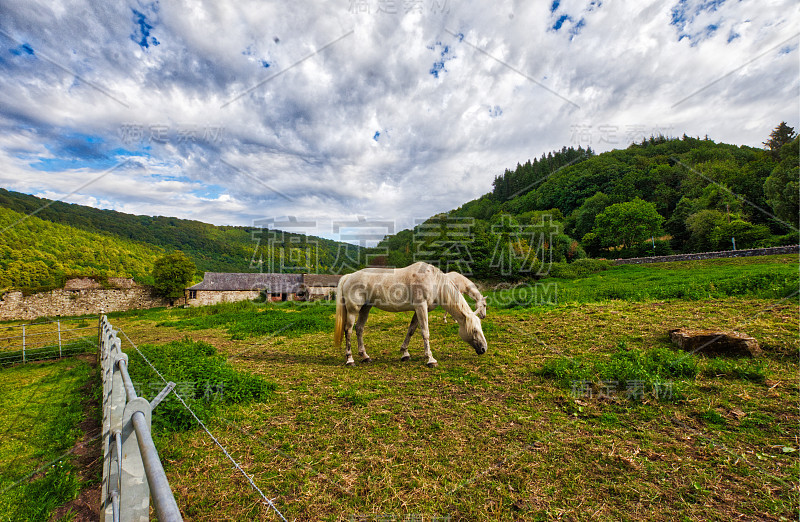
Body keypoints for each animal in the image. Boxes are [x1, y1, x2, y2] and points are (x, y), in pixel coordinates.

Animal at [332, 260, 488, 366]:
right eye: (474, 330)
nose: (483, 349)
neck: (434, 282)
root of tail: (349, 276)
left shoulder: (420, 310)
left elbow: (411, 330)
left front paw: (405, 353)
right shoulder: (421, 307)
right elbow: (425, 332)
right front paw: (431, 359)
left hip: (366, 308)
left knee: (359, 329)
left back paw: (365, 356)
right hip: (353, 310)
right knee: (349, 330)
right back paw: (350, 359)